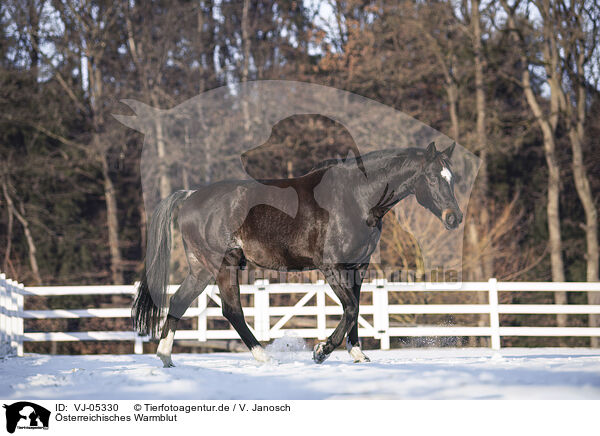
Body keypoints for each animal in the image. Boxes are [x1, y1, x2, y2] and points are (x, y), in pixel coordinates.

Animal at [134, 141, 462, 366]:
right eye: (432, 177)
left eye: (452, 178)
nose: (454, 218)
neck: (356, 197)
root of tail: (190, 196)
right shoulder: (332, 267)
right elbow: (351, 308)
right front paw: (321, 351)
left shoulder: (358, 266)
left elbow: (355, 309)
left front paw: (357, 354)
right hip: (223, 265)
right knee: (232, 310)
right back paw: (264, 357)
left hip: (201, 268)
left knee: (179, 301)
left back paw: (166, 357)